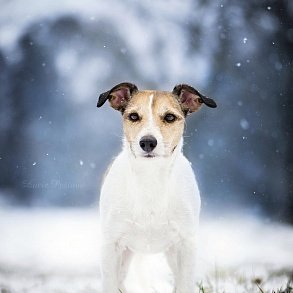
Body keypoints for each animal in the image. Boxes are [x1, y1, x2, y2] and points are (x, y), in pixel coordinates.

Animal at [97, 82, 216, 292]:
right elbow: (110, 284)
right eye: (133, 116)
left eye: (169, 117)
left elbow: (184, 285)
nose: (147, 142)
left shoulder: (186, 244)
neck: (150, 179)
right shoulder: (111, 244)